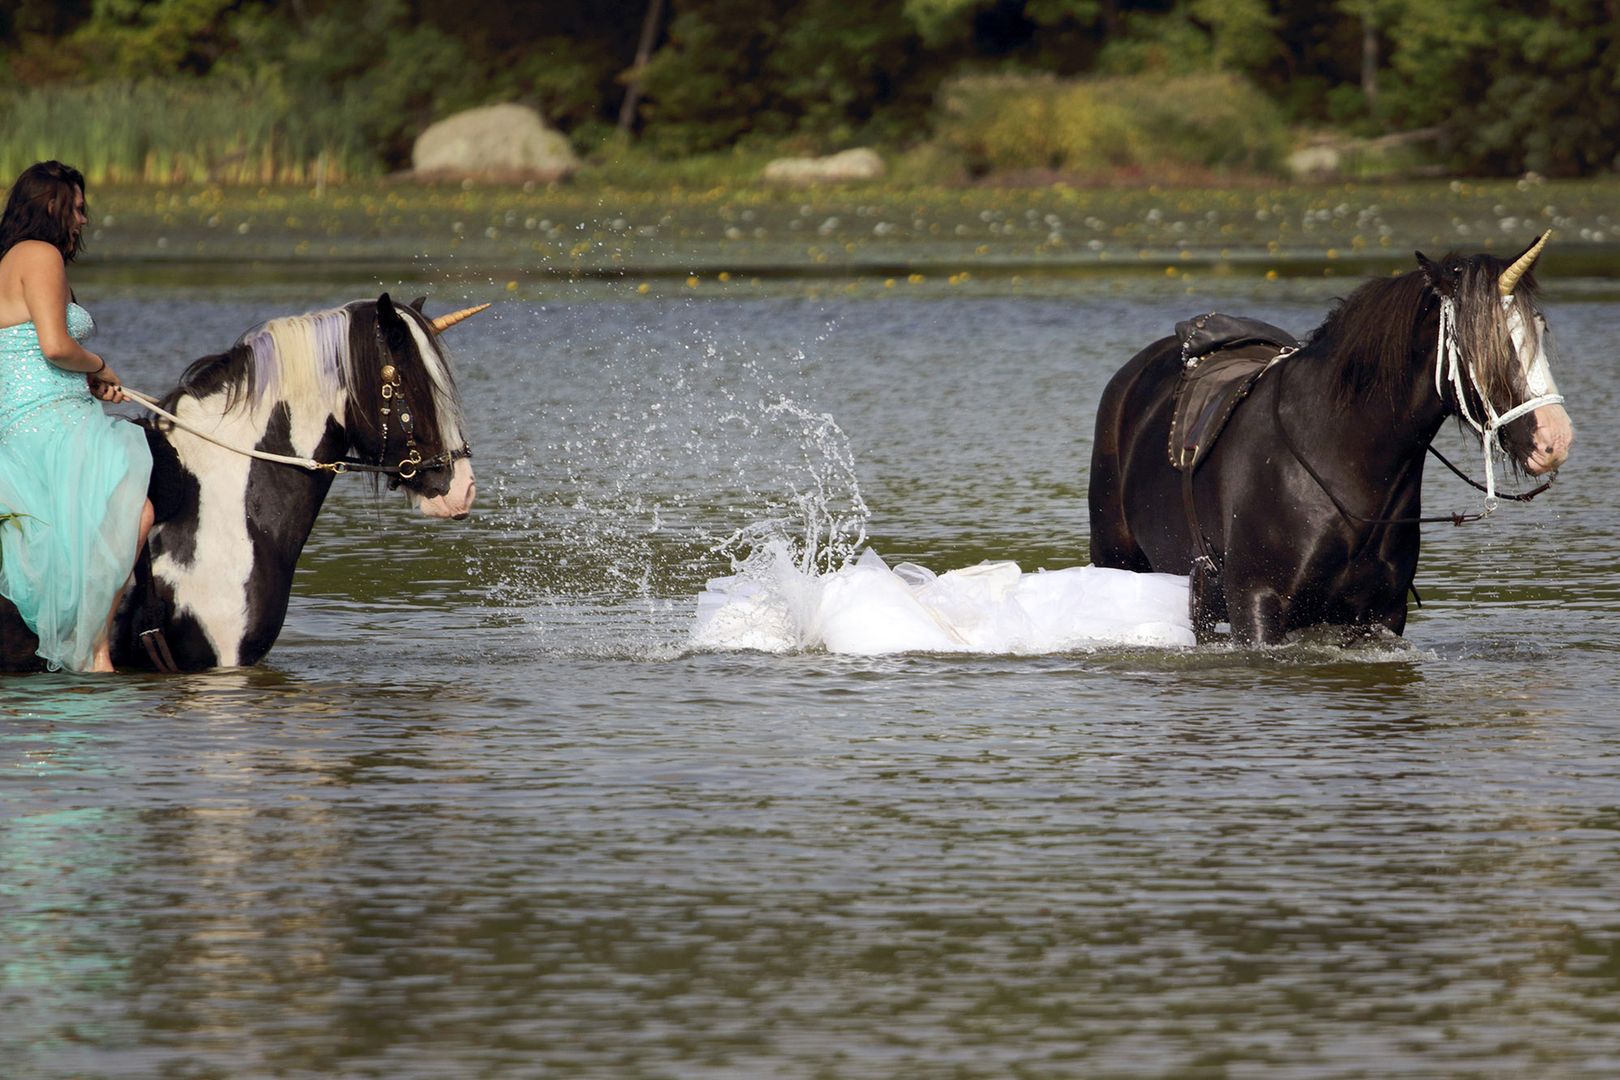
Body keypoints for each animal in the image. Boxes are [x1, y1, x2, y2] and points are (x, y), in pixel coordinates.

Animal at [1088, 233, 1568, 647]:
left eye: (1539, 328)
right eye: (1483, 340)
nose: (1555, 438)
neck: (1336, 454)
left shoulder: (1379, 615)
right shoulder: (1255, 605)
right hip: (1120, 559)